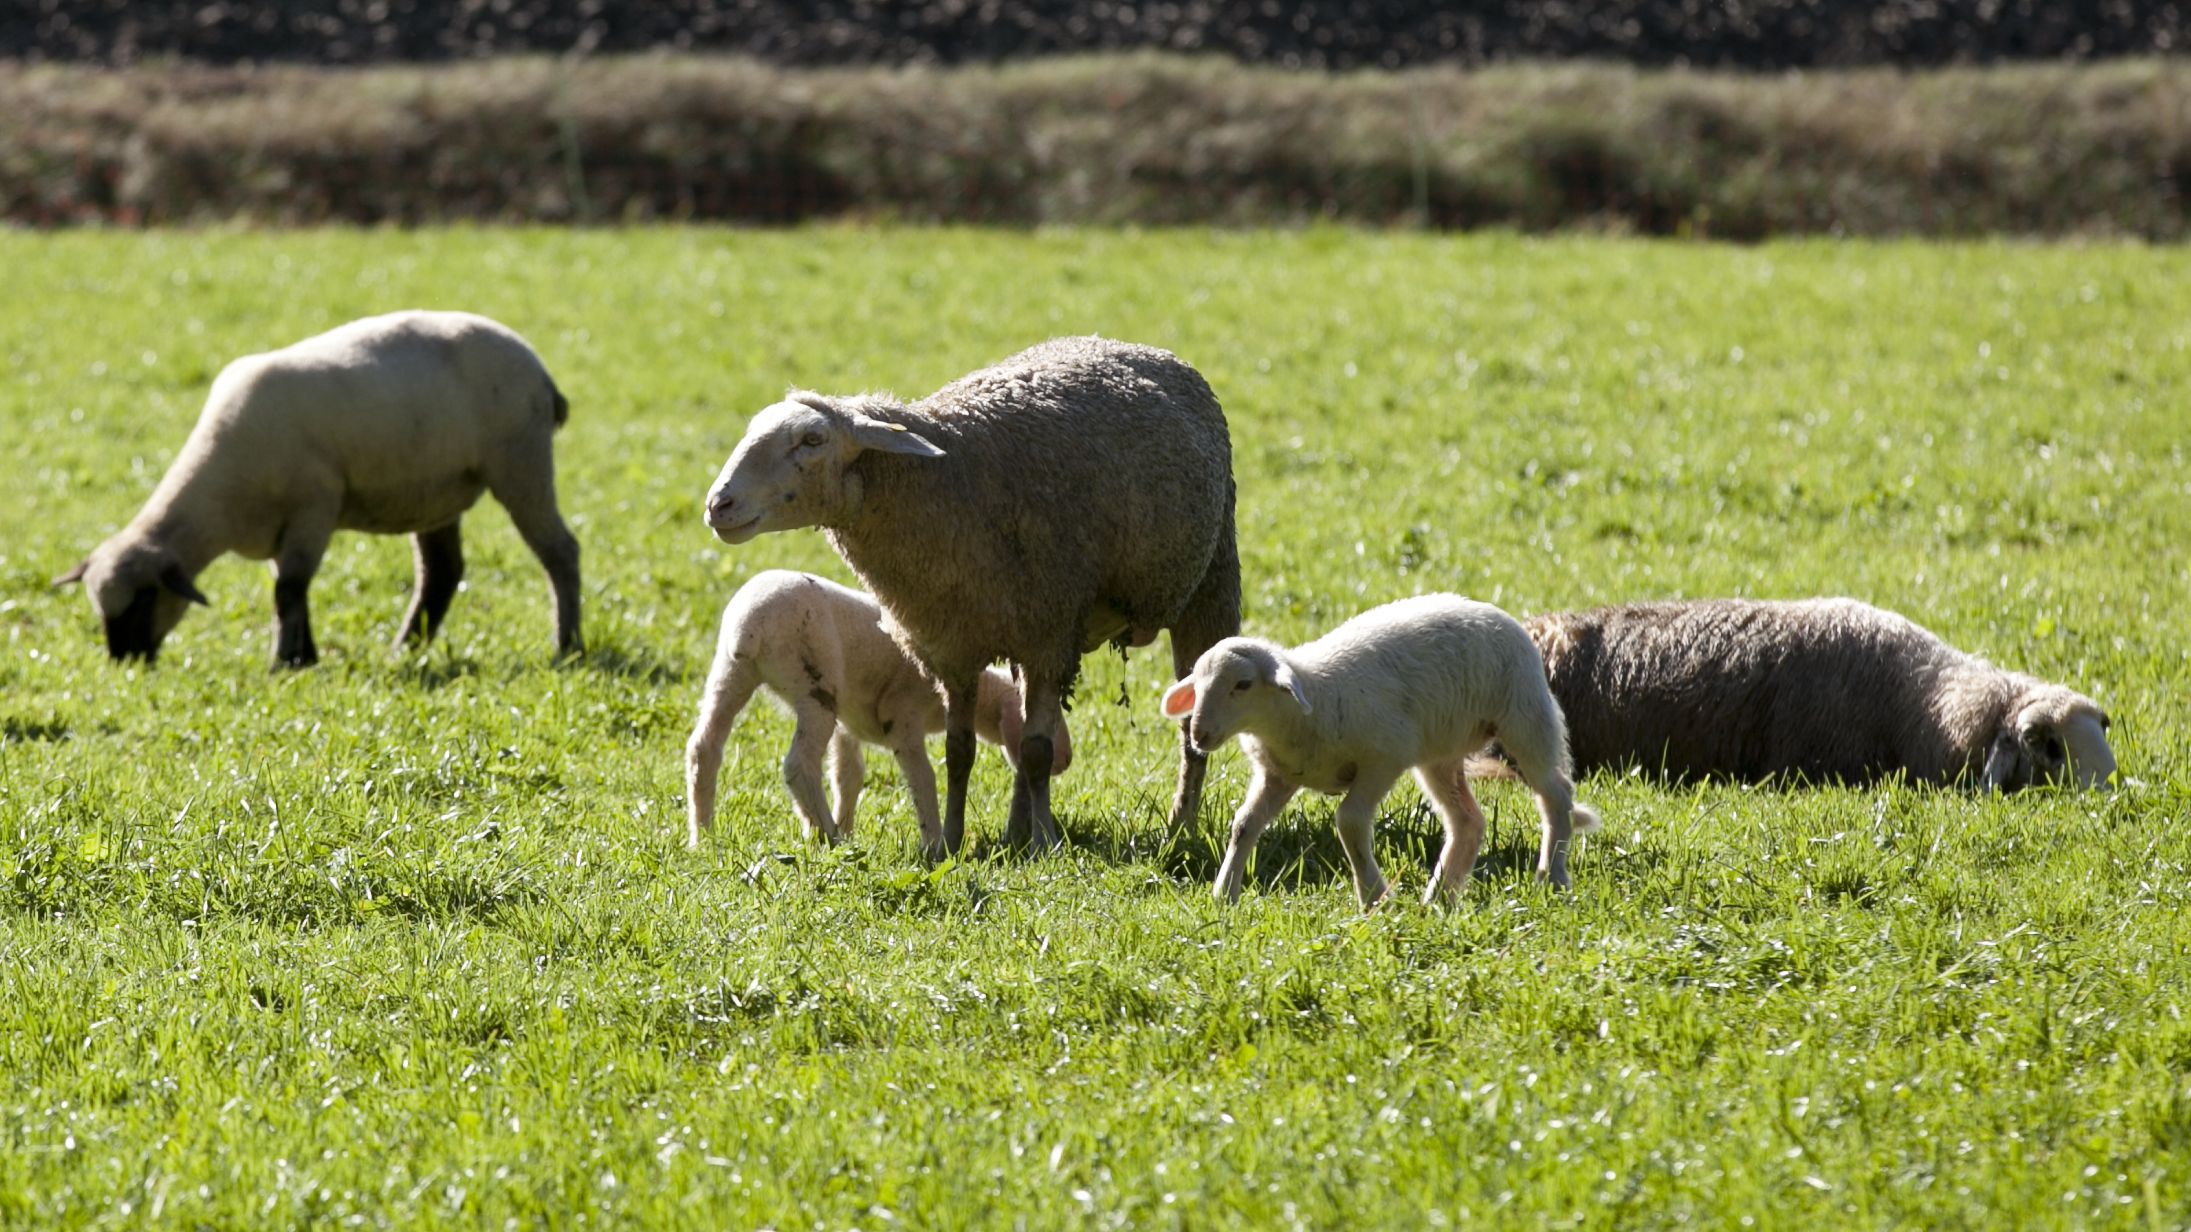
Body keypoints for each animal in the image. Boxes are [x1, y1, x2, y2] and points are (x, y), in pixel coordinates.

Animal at [54, 311, 582, 666]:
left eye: (145, 598)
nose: (124, 661)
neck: (218, 506)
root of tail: (542, 375)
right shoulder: (281, 530)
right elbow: (290, 588)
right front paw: (301, 657)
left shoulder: (314, 508)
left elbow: (288, 589)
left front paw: (283, 663)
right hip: (435, 491)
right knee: (442, 572)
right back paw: (403, 649)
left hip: (520, 462)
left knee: (560, 551)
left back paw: (567, 646)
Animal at [674, 569, 1069, 850]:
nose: (1064, 761)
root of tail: (749, 628)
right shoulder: (903, 717)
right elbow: (923, 777)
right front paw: (934, 843)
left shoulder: (849, 726)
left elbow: (849, 775)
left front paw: (846, 826)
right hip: (814, 686)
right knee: (798, 764)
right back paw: (826, 835)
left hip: (730, 671)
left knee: (704, 746)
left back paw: (702, 837)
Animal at [1156, 591, 1603, 907]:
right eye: (1197, 683)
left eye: (1243, 684)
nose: (1198, 735)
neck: (1310, 698)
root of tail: (1493, 611)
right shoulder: (1279, 775)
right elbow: (1244, 824)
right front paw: (1224, 893)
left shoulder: (1383, 758)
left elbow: (1350, 822)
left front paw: (1374, 897)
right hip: (1440, 752)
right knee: (1467, 822)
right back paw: (1439, 897)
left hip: (1523, 715)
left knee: (1556, 794)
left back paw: (1552, 876)